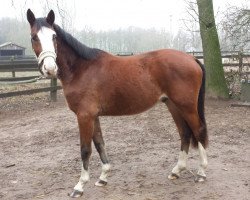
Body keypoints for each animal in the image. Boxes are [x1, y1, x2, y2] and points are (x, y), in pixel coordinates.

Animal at [26, 9, 208, 197]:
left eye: (54, 36)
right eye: (34, 37)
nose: (50, 68)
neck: (81, 69)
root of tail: (192, 59)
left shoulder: (84, 116)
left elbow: (85, 149)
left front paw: (79, 186)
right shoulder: (93, 116)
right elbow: (99, 144)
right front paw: (103, 178)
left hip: (187, 107)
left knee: (198, 131)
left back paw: (201, 173)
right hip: (173, 105)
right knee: (185, 133)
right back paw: (177, 171)